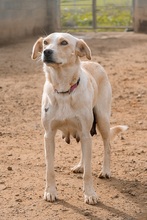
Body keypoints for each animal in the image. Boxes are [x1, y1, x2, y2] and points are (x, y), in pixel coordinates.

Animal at [31, 32, 127, 205]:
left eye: (64, 42)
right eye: (45, 42)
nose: (46, 52)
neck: (63, 89)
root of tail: (93, 62)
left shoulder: (85, 130)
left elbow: (88, 172)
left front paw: (90, 194)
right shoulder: (49, 135)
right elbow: (50, 169)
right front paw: (50, 192)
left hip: (102, 120)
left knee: (107, 145)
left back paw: (105, 171)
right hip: (84, 132)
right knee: (85, 149)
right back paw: (80, 166)